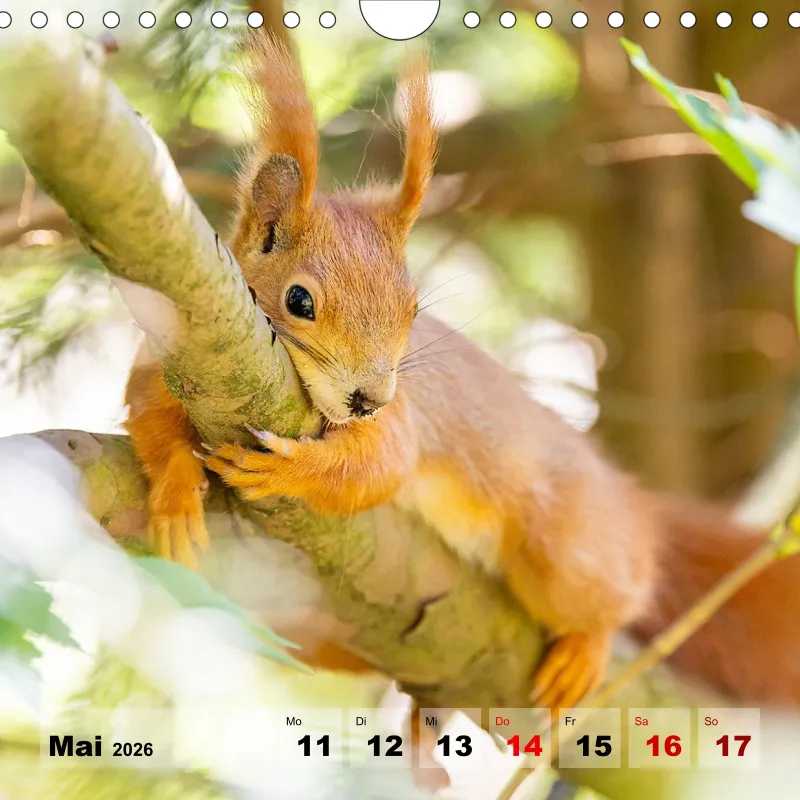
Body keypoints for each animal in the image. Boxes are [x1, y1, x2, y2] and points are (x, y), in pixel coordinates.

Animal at [125, 30, 800, 759]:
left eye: (413, 307)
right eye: (298, 301)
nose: (368, 398)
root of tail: (630, 504)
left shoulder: (406, 420)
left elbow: (381, 467)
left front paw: (290, 468)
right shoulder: (166, 355)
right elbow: (147, 414)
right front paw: (174, 491)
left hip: (566, 546)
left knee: (610, 590)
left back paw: (586, 647)